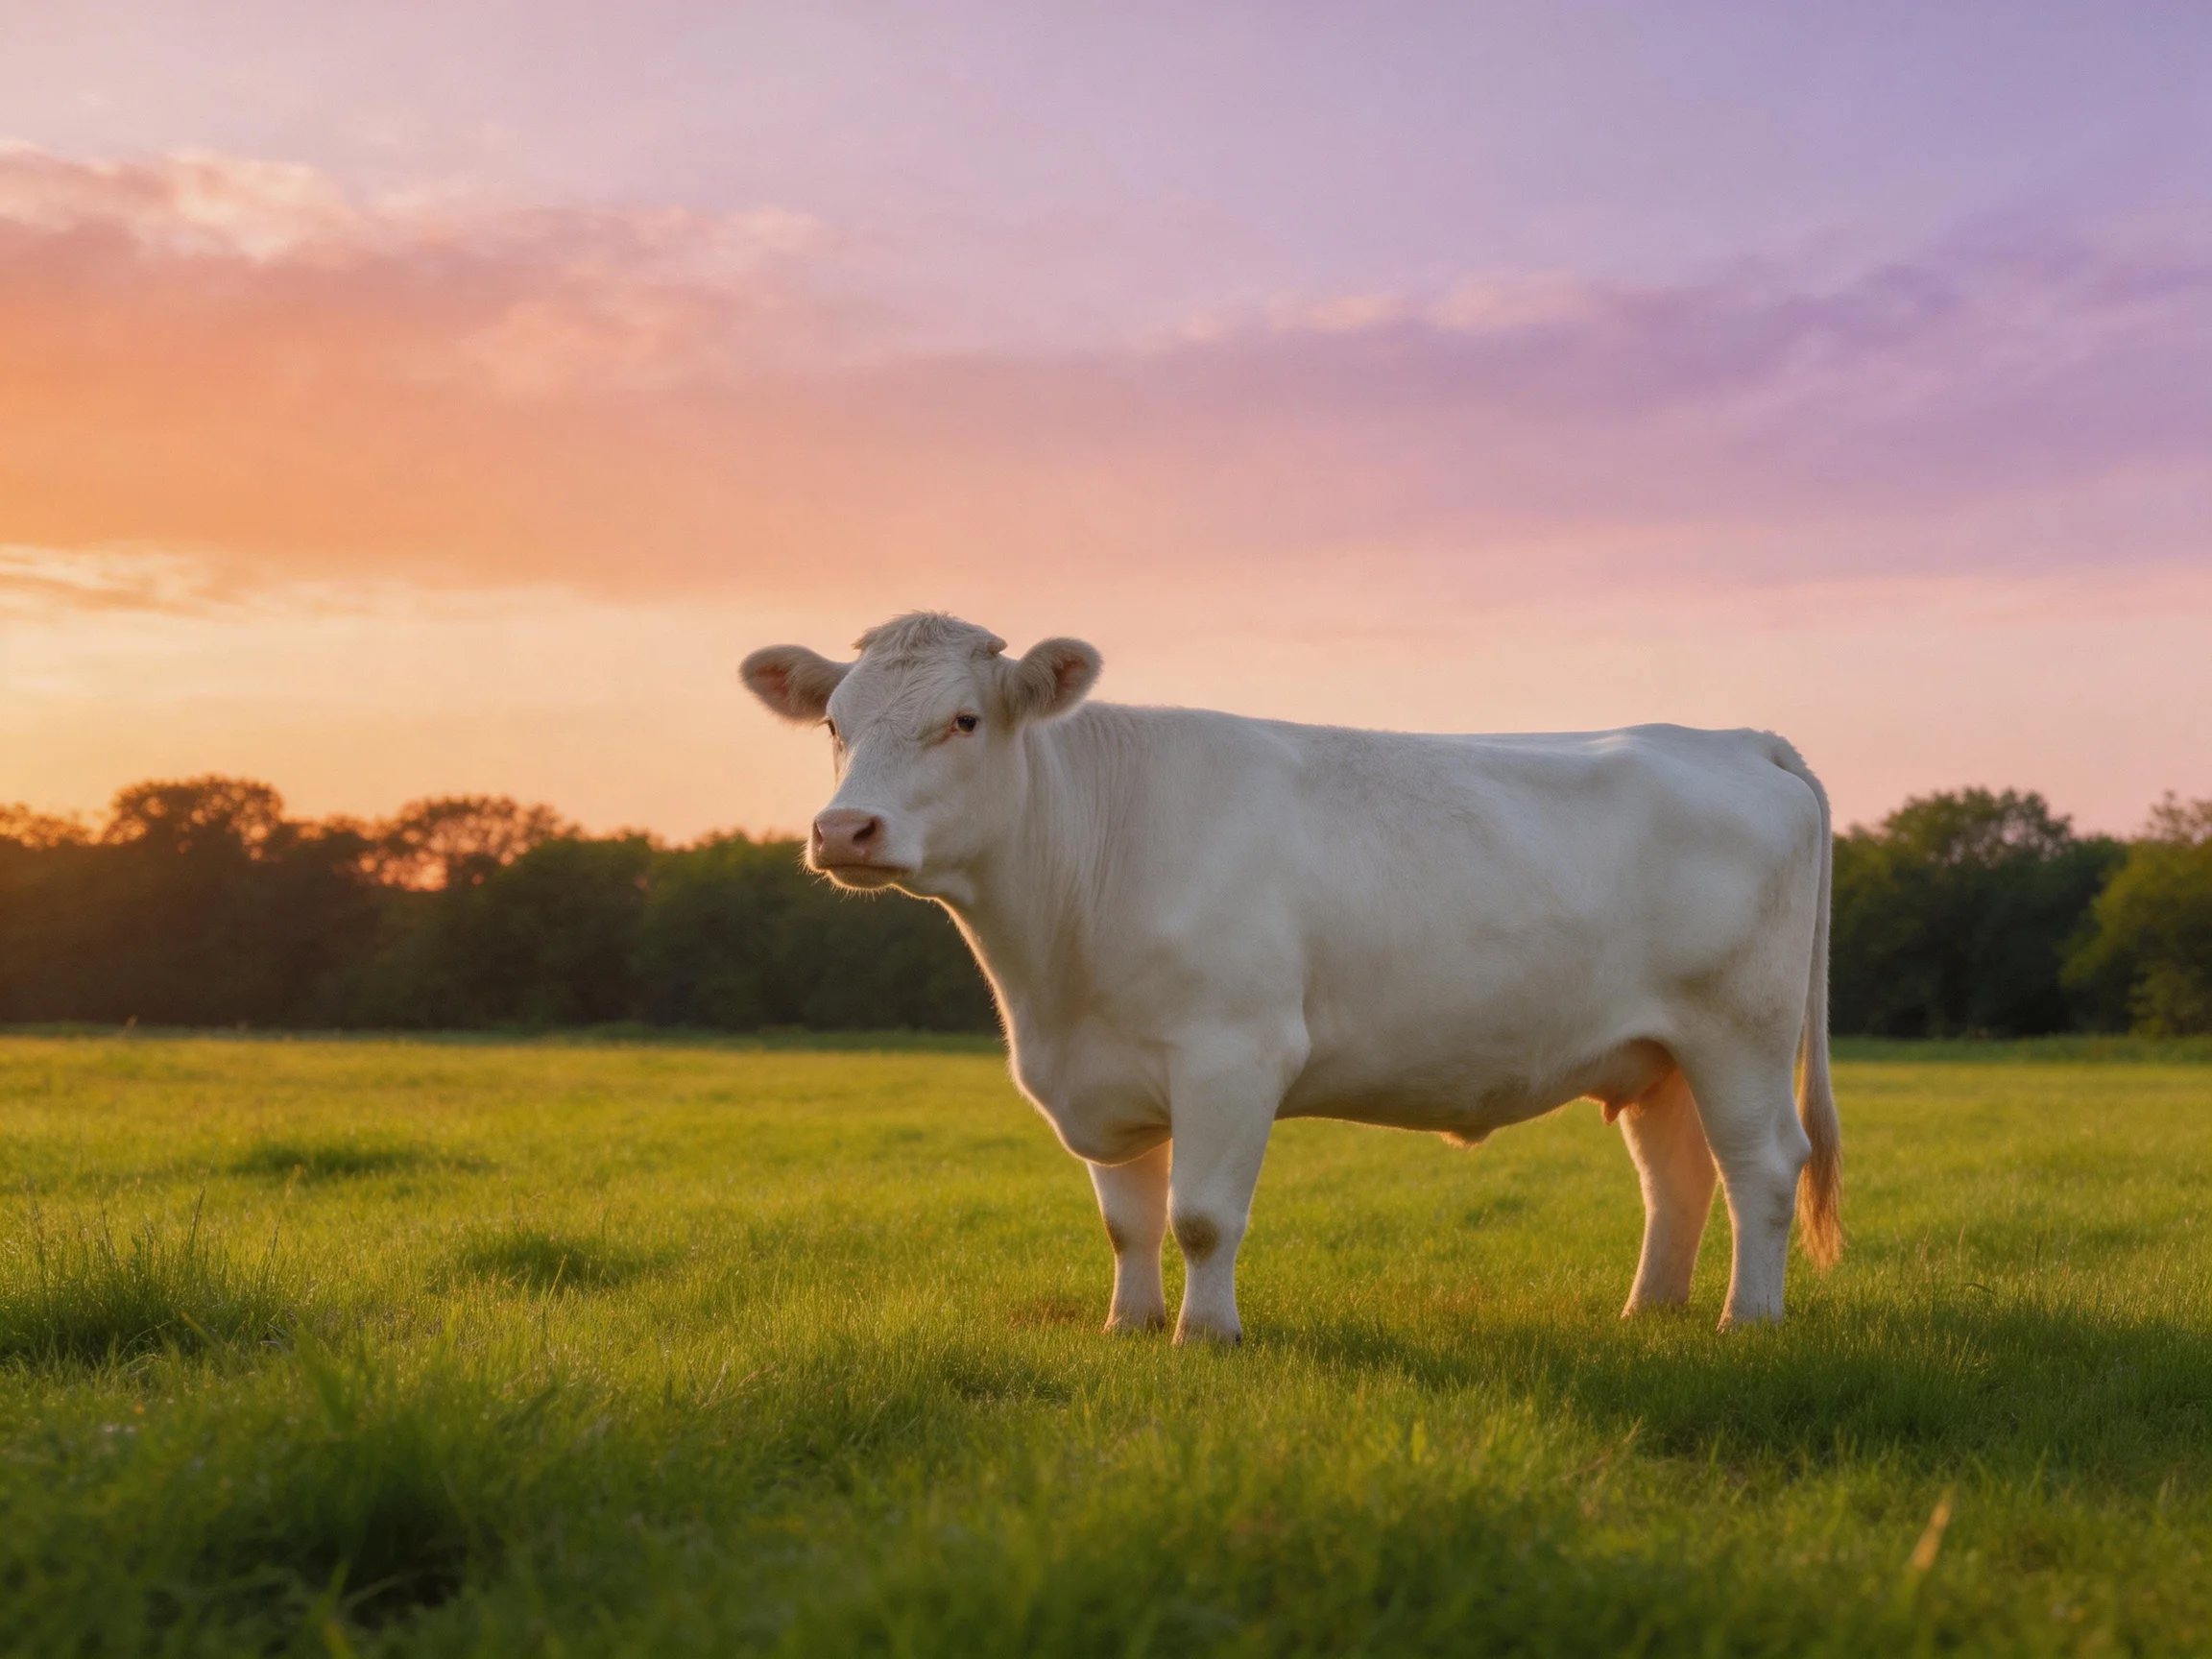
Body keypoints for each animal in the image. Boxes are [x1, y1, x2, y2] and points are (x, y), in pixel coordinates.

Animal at [741, 612, 1841, 1343]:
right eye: (836, 723)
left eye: (965, 720)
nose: (845, 829)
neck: (1052, 972)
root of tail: (1733, 739)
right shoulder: (1102, 1075)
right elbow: (1127, 1221)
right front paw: (1128, 1328)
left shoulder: (1233, 1055)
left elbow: (1199, 1216)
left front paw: (1205, 1336)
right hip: (1657, 1053)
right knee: (1679, 1179)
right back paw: (1648, 1312)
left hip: (1741, 1031)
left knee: (1763, 1166)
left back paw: (1748, 1321)